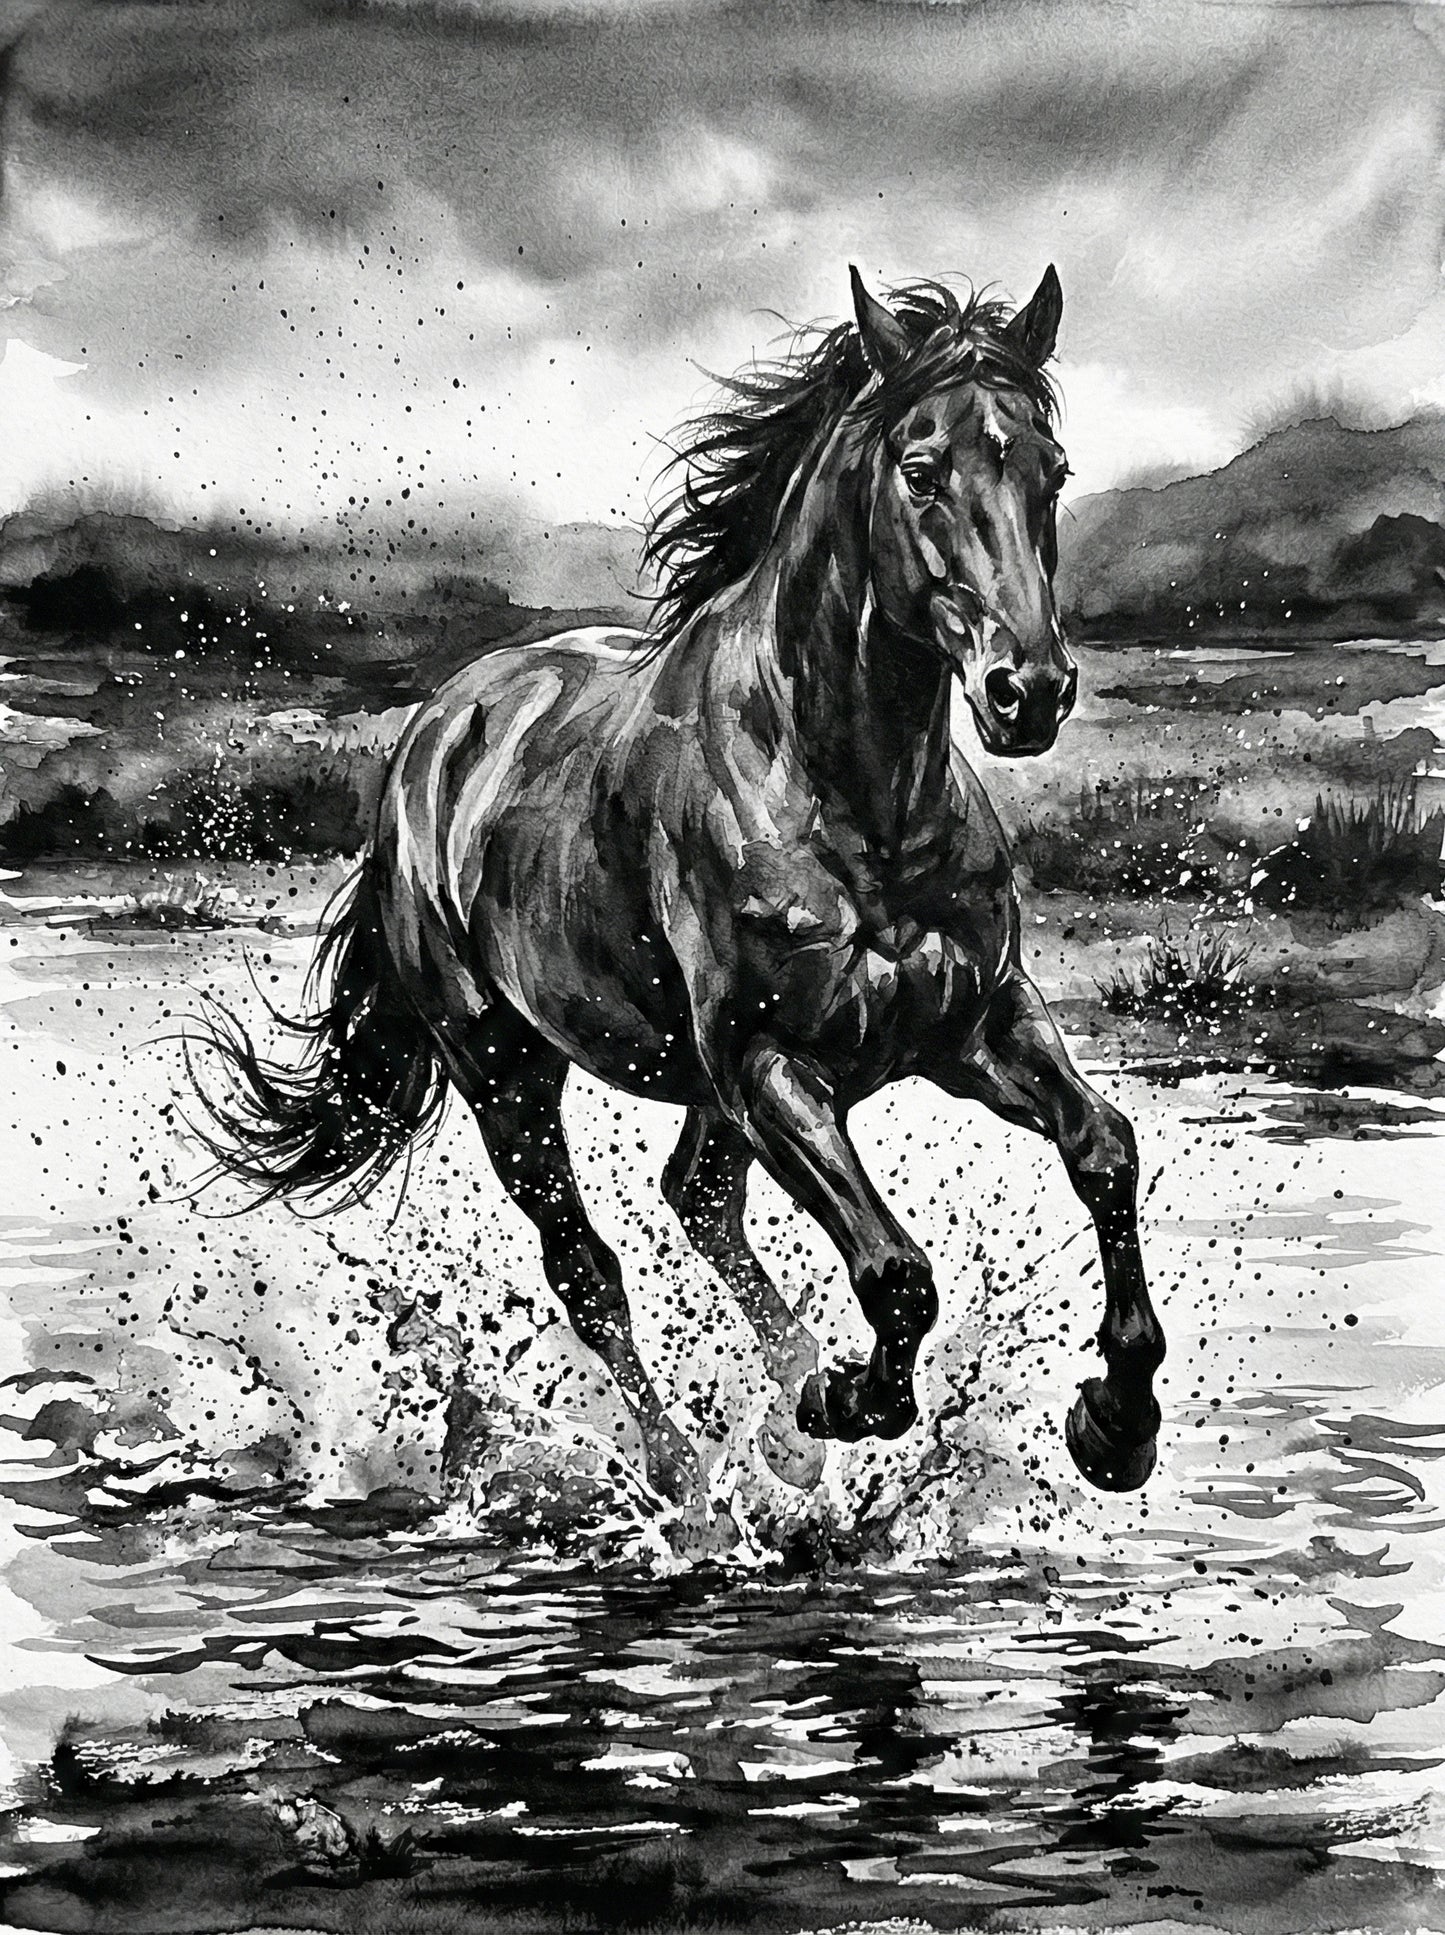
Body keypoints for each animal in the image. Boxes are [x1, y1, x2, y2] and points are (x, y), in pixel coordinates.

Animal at [195, 265, 1165, 1505]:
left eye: (1051, 469)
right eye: (920, 471)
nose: (1027, 692)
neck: (851, 803)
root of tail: (434, 731)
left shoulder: (976, 1024)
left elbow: (1103, 1151)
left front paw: (1113, 1424)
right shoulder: (769, 1066)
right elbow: (895, 1273)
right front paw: (846, 1399)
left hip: (694, 1087)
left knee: (696, 1199)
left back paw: (781, 1432)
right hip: (506, 1077)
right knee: (588, 1270)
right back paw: (685, 1479)